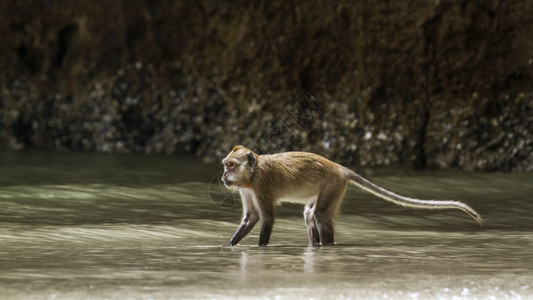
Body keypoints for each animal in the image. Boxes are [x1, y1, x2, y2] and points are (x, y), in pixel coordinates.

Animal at [220, 145, 482, 246]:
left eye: (231, 165)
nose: (223, 176)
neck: (252, 173)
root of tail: (339, 168)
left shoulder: (261, 186)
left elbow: (266, 219)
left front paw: (261, 247)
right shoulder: (246, 188)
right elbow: (251, 218)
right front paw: (231, 245)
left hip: (333, 185)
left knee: (320, 216)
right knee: (310, 214)